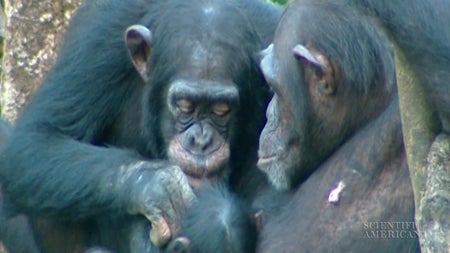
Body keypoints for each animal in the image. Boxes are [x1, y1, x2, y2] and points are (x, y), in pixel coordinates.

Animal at [0, 0, 282, 252]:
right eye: (184, 105)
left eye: (222, 109)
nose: (201, 141)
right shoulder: (99, 41)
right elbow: (37, 140)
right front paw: (155, 185)